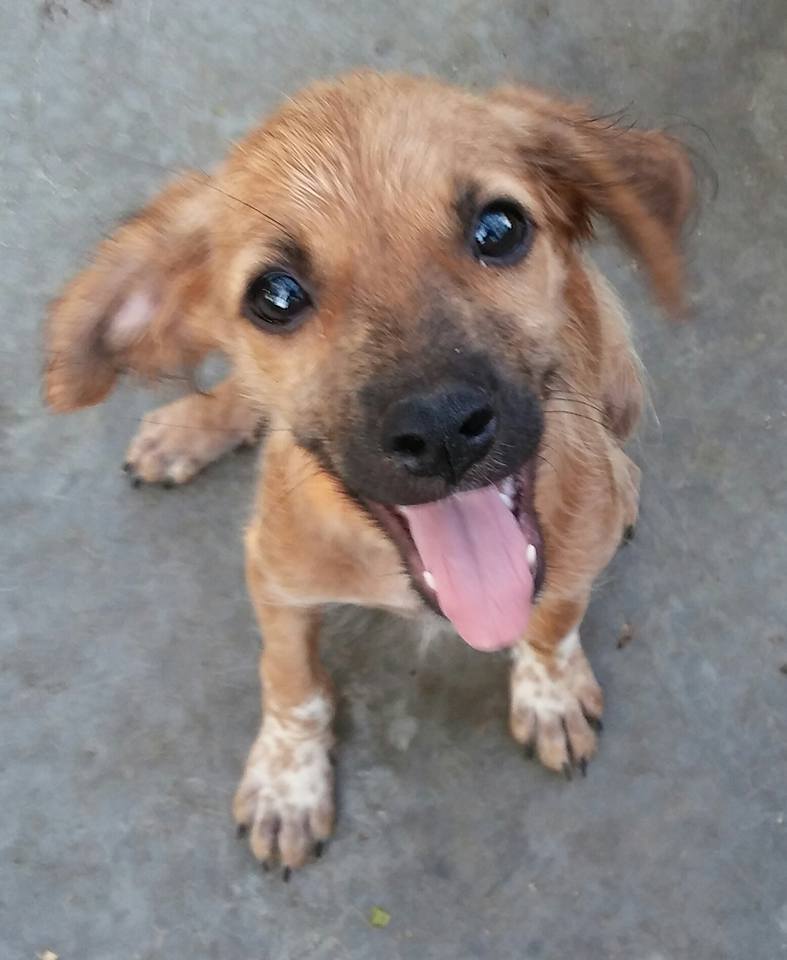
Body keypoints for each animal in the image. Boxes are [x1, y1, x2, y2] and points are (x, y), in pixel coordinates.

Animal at [44, 71, 694, 872]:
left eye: (499, 228)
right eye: (276, 295)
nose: (443, 429)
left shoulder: (571, 560)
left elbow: (554, 618)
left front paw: (550, 691)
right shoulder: (273, 573)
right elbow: (289, 678)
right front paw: (288, 783)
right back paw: (191, 427)